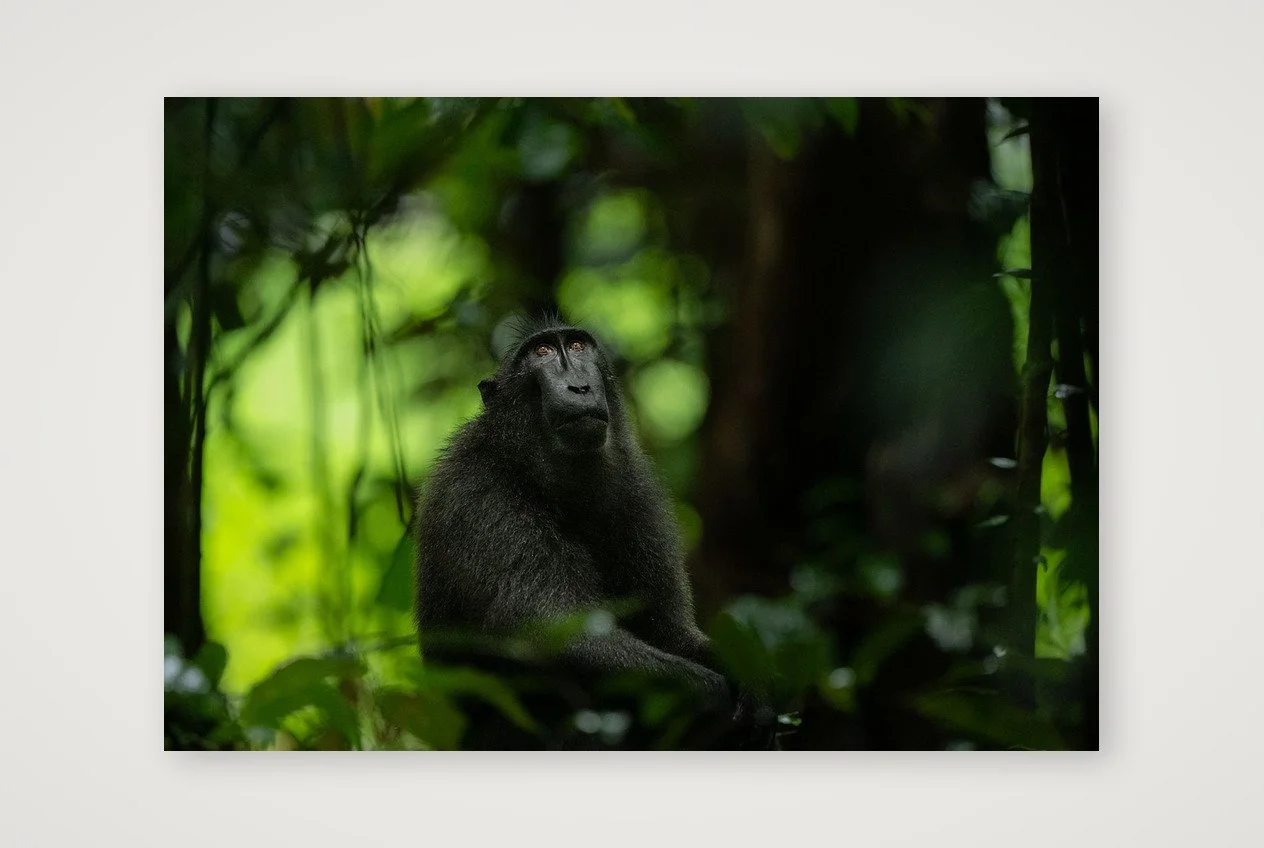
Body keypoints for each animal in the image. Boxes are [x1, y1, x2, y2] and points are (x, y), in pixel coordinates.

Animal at [413, 317, 773, 749]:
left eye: (578, 346)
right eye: (542, 353)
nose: (580, 387)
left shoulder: (637, 491)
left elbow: (668, 631)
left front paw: (750, 683)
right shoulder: (476, 495)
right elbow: (551, 629)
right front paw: (707, 694)